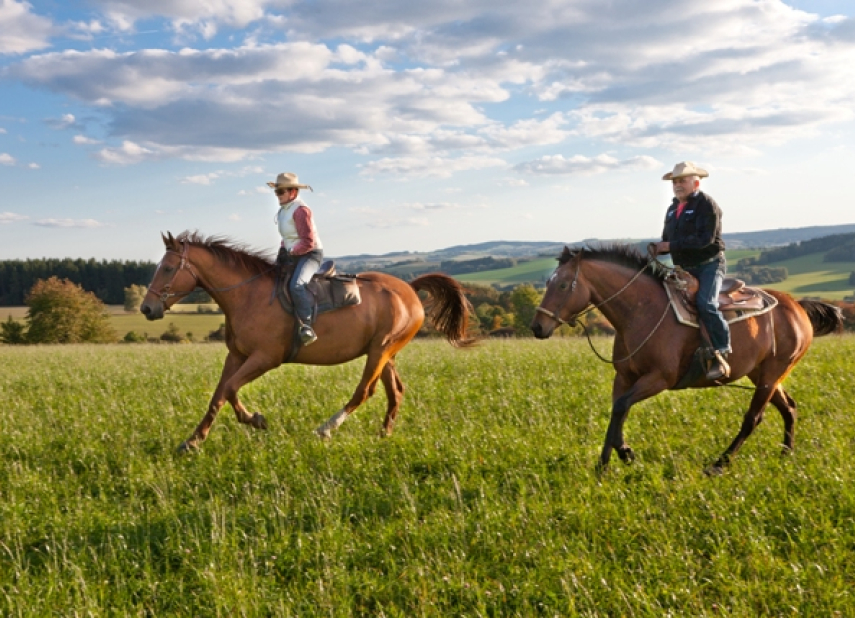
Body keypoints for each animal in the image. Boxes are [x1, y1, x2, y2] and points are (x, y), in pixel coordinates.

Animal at [140, 230, 474, 448]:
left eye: (167, 268)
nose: (146, 308)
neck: (247, 295)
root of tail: (410, 288)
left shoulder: (265, 358)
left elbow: (232, 389)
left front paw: (256, 420)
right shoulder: (236, 356)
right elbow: (219, 395)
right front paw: (193, 441)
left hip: (379, 351)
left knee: (364, 391)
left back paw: (326, 429)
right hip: (385, 353)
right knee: (395, 392)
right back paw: (384, 435)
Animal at [532, 243, 840, 474]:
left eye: (563, 285)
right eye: (548, 282)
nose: (537, 327)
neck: (642, 311)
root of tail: (796, 306)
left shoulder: (659, 379)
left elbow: (621, 407)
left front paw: (616, 458)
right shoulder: (625, 377)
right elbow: (618, 409)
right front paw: (614, 459)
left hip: (771, 374)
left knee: (753, 418)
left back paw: (719, 464)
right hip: (764, 375)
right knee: (789, 408)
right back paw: (786, 455)